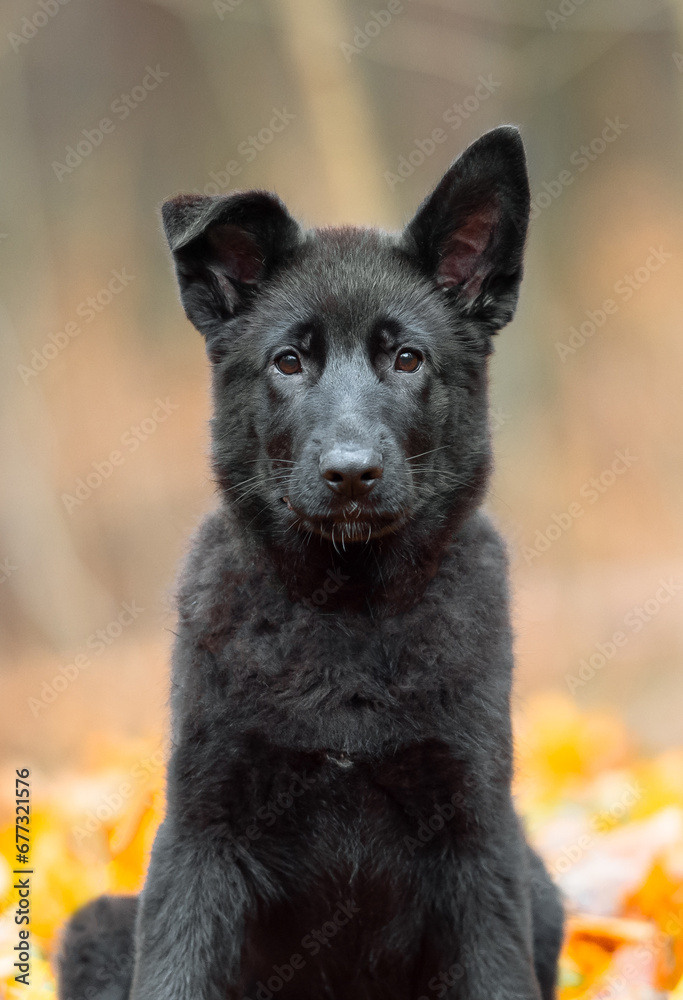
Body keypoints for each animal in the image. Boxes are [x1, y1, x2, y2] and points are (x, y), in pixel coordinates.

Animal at [57, 127, 560, 1000]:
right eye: (288, 361)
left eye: (406, 359)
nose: (351, 473)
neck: (345, 608)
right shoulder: (202, 833)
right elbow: (174, 971)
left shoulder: (476, 838)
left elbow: (495, 972)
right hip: (98, 922)